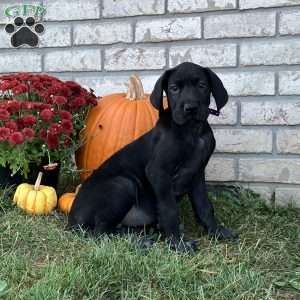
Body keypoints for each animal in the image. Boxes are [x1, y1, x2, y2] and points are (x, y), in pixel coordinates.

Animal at [68, 62, 237, 250]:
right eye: (174, 88)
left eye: (202, 86)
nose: (190, 108)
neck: (191, 131)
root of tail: (72, 219)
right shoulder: (158, 172)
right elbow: (170, 210)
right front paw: (177, 244)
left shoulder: (197, 174)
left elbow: (204, 206)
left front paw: (216, 231)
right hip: (123, 184)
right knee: (100, 231)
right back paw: (140, 242)